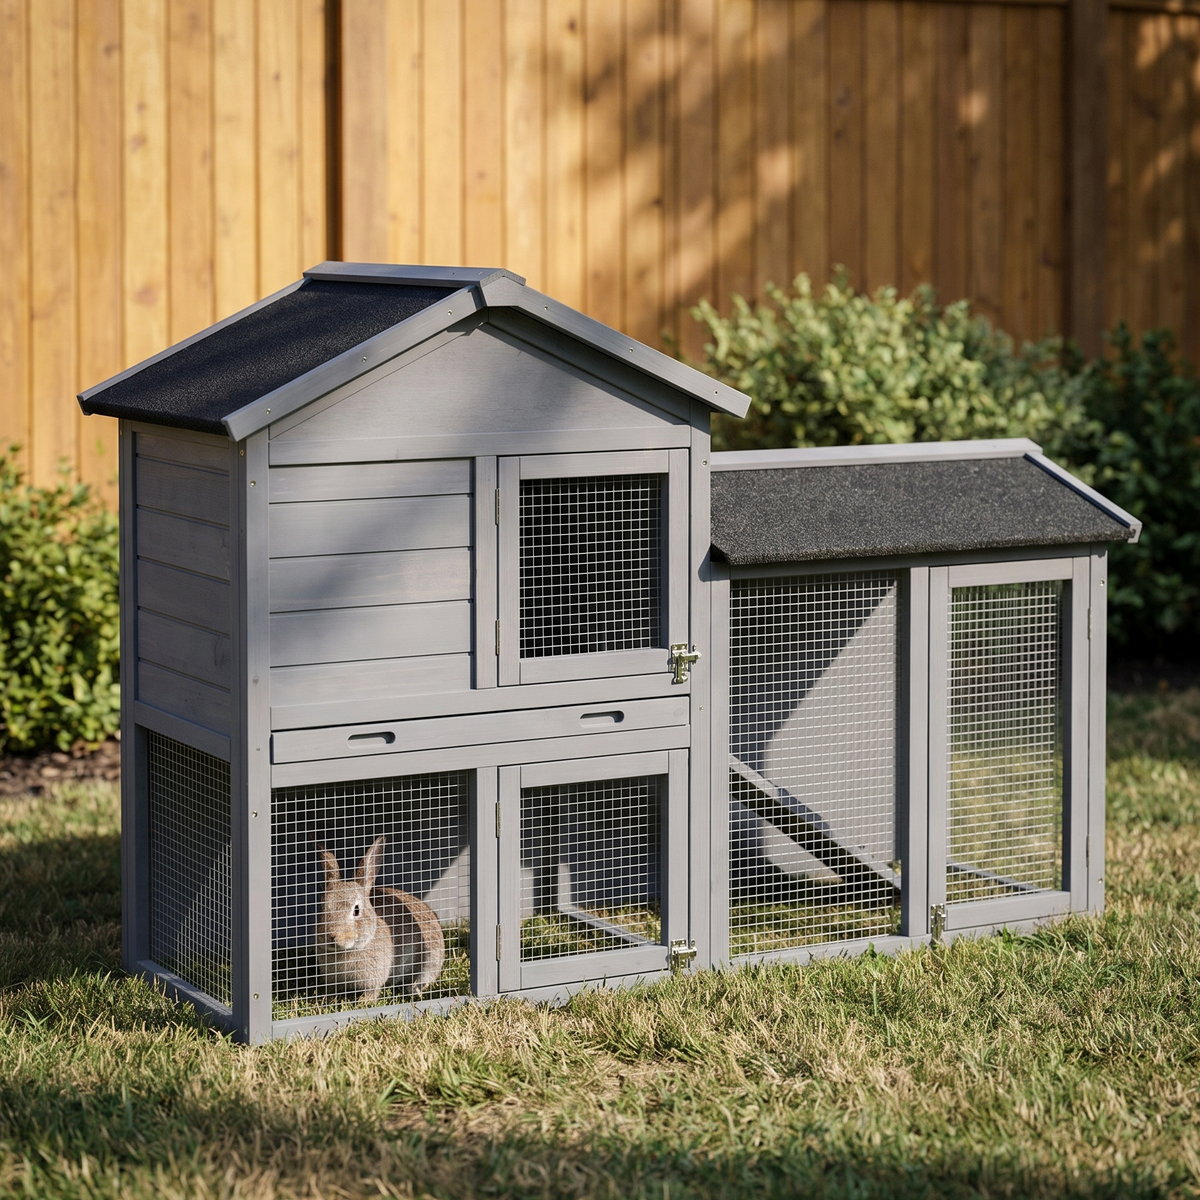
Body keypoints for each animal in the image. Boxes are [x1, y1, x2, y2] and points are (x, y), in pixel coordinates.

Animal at [314, 835, 393, 1004]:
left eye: (356, 910)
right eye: (322, 908)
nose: (332, 936)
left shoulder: (374, 978)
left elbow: (372, 991)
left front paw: (364, 1002)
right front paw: (327, 1000)